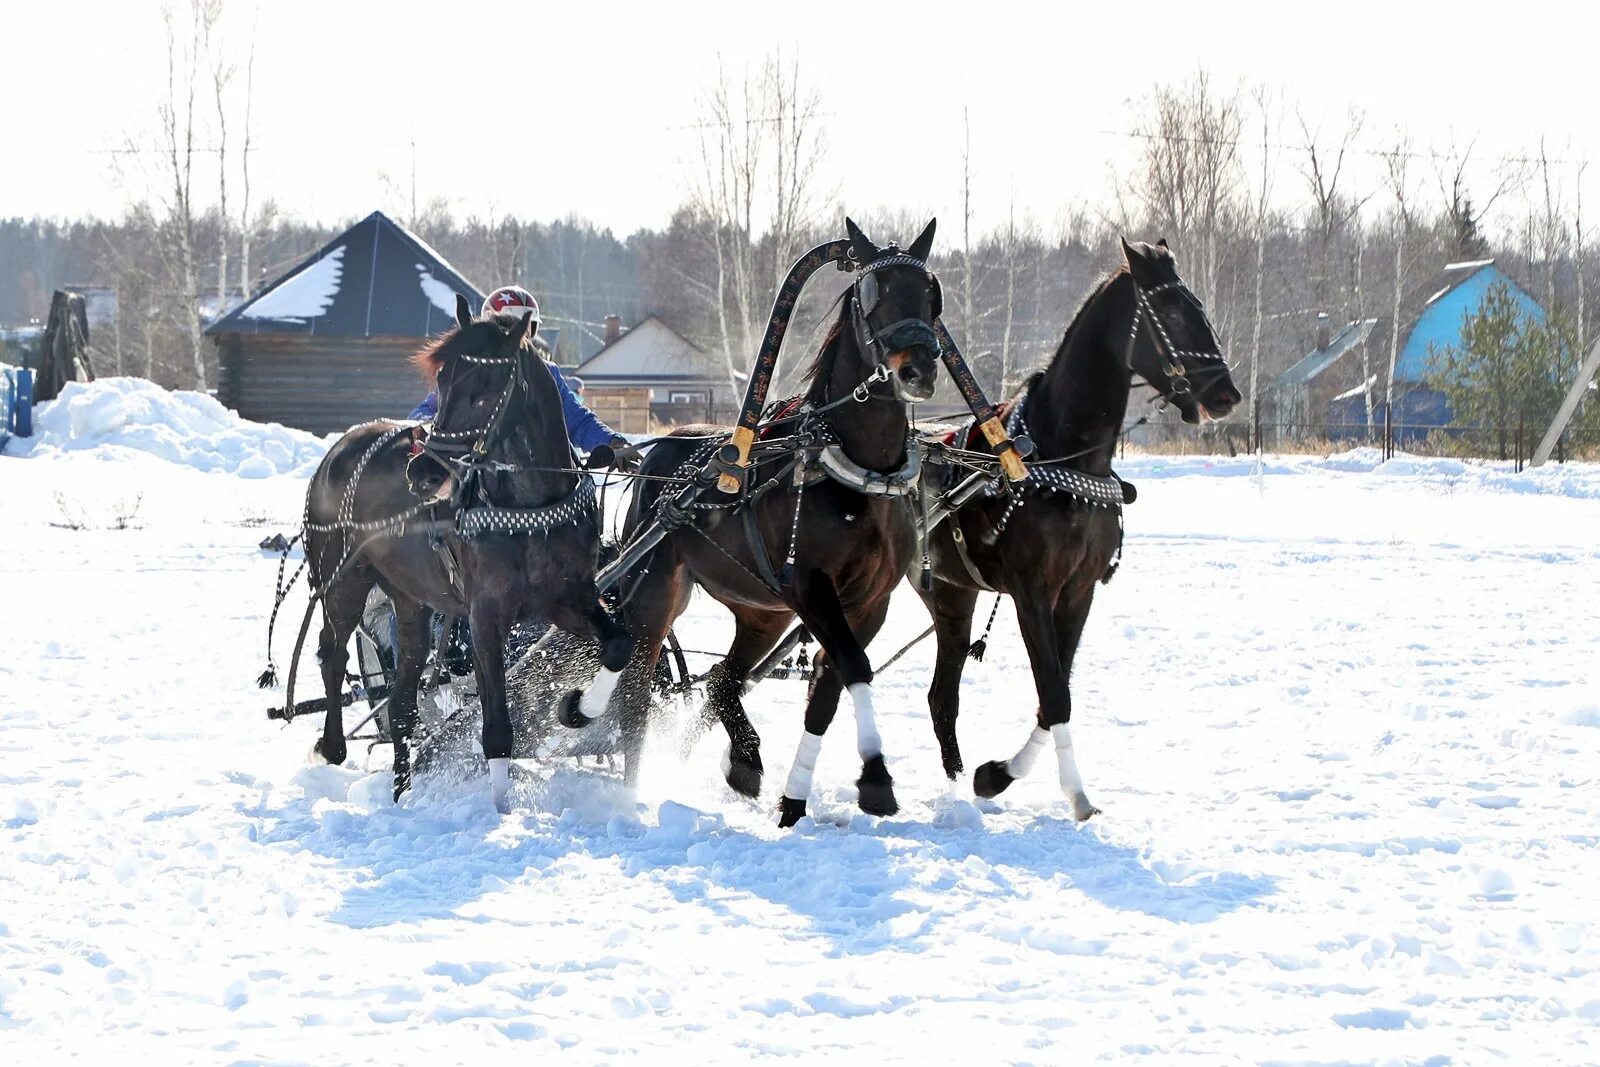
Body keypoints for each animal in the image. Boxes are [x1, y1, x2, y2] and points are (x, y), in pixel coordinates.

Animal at [305, 295, 630, 812]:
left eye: (485, 389)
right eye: (441, 383)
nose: (422, 471)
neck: (527, 507)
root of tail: (343, 446)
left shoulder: (569, 598)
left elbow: (619, 644)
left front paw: (580, 708)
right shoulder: (485, 614)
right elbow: (496, 725)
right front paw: (500, 810)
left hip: (409, 598)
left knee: (402, 698)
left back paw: (401, 792)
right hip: (344, 579)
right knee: (332, 652)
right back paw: (332, 744)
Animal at [563, 217, 940, 825]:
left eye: (930, 292)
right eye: (872, 293)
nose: (918, 369)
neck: (856, 469)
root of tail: (660, 452)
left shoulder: (871, 600)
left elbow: (829, 686)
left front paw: (798, 798)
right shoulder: (812, 586)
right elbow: (854, 667)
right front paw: (877, 777)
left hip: (763, 611)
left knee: (723, 678)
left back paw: (744, 759)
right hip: (657, 586)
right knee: (637, 683)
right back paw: (623, 778)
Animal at [921, 235, 1241, 819]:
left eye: (1199, 307)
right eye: (1171, 314)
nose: (1225, 394)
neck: (1057, 456)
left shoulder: (1078, 590)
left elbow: (1055, 697)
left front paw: (998, 775)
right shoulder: (1031, 590)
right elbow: (1053, 693)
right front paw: (1063, 790)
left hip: (951, 595)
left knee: (938, 695)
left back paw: (955, 788)